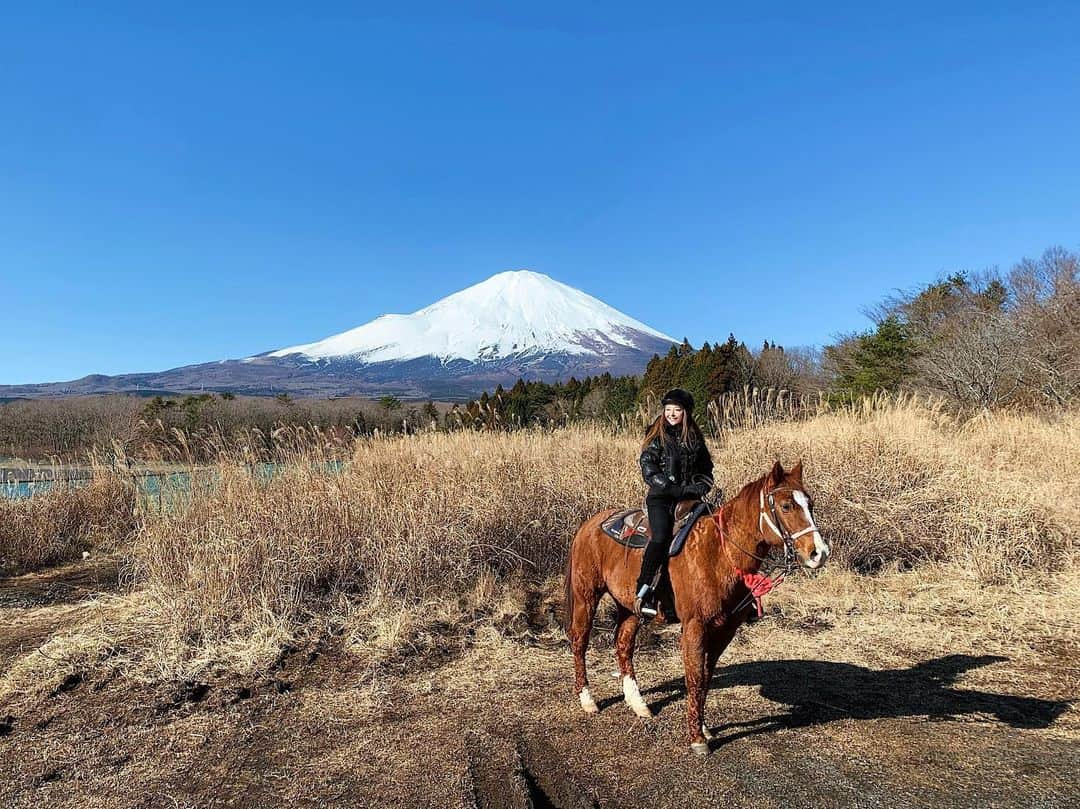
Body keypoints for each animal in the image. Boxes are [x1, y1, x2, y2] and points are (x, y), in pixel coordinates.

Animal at [565, 464, 825, 756]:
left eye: (810, 504)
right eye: (786, 506)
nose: (819, 553)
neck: (719, 554)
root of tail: (589, 524)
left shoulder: (725, 630)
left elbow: (706, 677)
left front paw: (702, 728)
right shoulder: (694, 626)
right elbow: (695, 677)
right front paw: (697, 738)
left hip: (629, 607)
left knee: (623, 645)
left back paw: (638, 703)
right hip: (586, 596)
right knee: (580, 642)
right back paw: (587, 699)